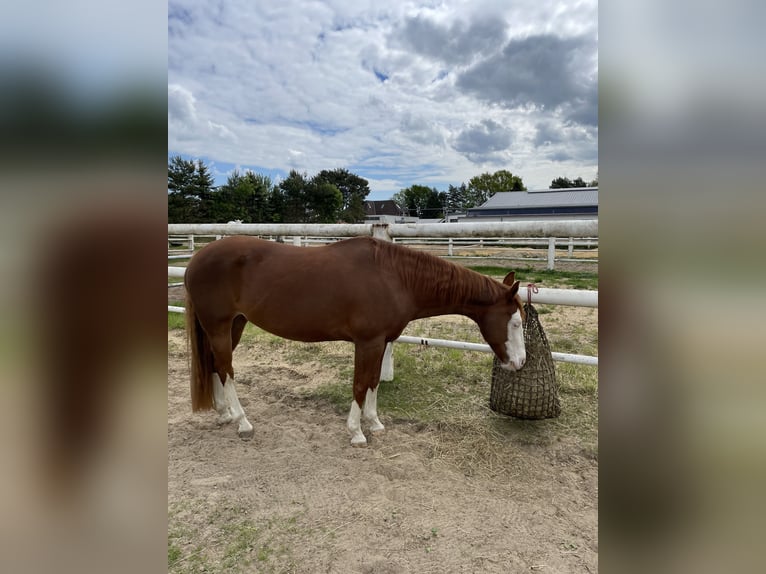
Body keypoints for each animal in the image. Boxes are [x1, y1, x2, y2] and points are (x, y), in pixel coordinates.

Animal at [184, 235, 526, 447]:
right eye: (515, 321)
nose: (520, 363)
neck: (395, 277)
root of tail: (196, 259)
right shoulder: (368, 342)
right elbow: (361, 383)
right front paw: (356, 432)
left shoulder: (381, 342)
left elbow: (373, 382)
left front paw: (374, 423)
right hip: (219, 326)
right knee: (226, 369)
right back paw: (243, 422)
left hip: (234, 325)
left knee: (215, 365)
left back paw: (224, 414)